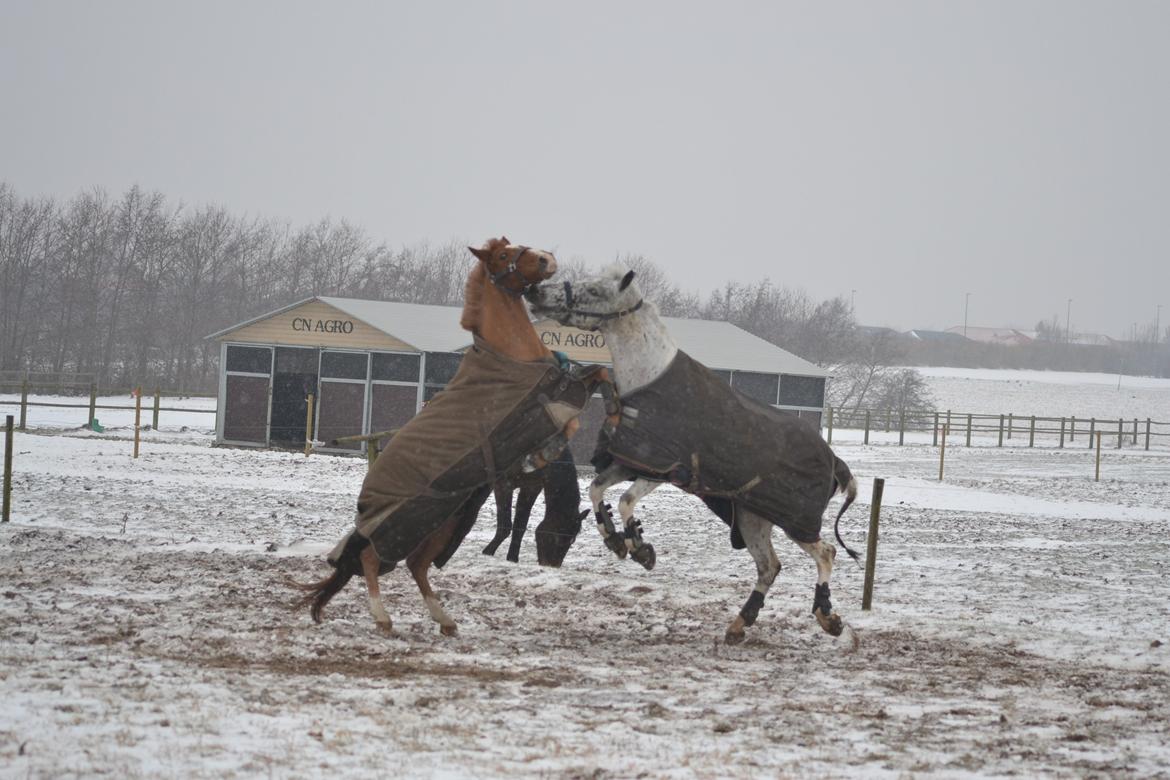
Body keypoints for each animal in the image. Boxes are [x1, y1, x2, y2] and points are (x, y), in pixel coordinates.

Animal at [297, 236, 608, 636]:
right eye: (504, 255)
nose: (546, 259)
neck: (513, 354)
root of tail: (367, 505)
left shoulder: (529, 482)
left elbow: (599, 377)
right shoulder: (528, 439)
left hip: (440, 524)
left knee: (415, 565)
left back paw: (444, 619)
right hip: (407, 523)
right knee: (369, 558)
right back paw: (383, 617)